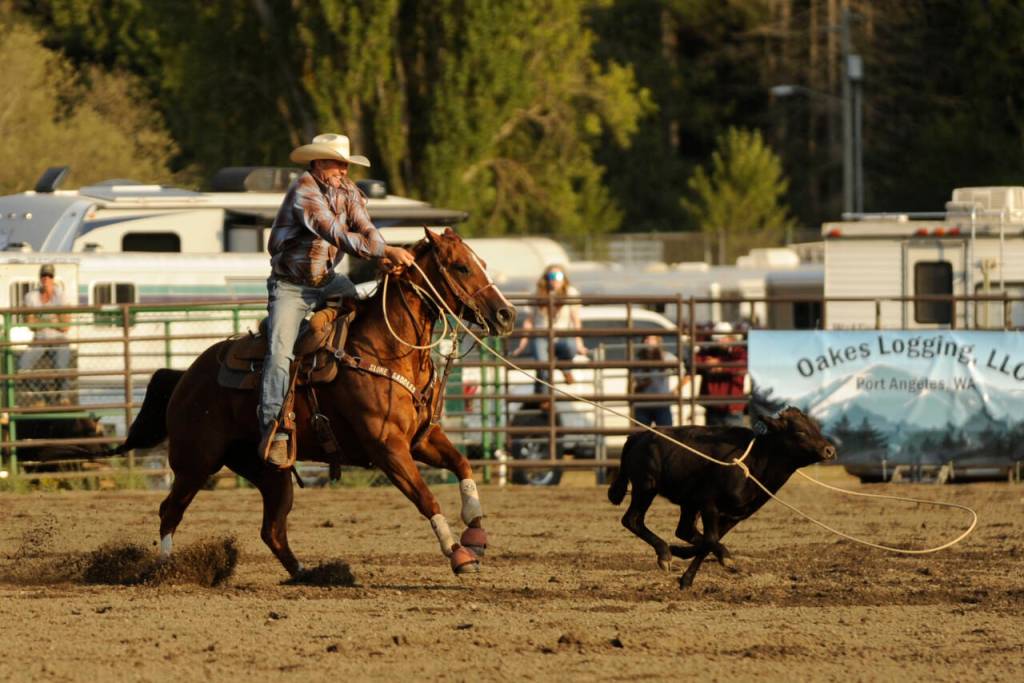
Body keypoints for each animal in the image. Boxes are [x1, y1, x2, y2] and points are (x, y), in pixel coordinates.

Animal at [608, 407, 837, 589]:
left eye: (816, 427)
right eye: (800, 431)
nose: (830, 450)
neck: (756, 461)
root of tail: (637, 437)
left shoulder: (735, 515)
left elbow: (708, 541)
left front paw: (686, 575)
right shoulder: (709, 504)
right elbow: (710, 540)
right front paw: (725, 559)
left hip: (684, 503)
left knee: (684, 530)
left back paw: (672, 550)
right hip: (646, 487)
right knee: (632, 520)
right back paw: (664, 553)